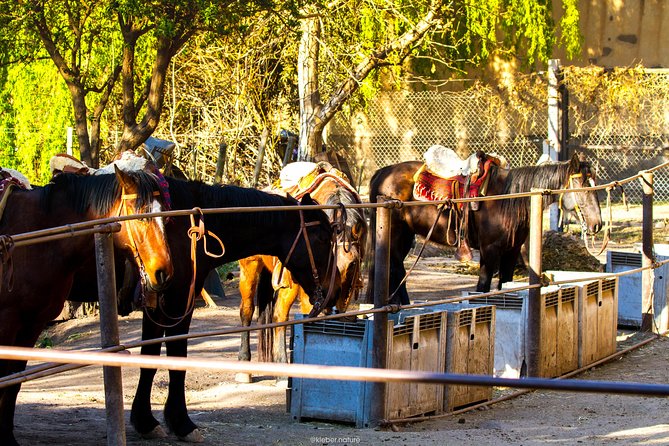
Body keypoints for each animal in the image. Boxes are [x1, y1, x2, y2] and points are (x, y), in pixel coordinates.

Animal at [0, 168, 174, 446]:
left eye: (165, 217)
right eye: (140, 214)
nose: (163, 273)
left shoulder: (32, 325)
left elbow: (13, 381)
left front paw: (7, 436)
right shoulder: (7, 323)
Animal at [125, 176, 340, 440]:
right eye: (322, 238)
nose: (336, 289)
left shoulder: (160, 306)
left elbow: (151, 356)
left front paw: (145, 420)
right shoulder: (175, 303)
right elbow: (173, 358)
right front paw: (179, 423)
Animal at [368, 152, 604, 304]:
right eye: (581, 186)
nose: (597, 224)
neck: (508, 198)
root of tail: (382, 172)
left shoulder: (511, 250)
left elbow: (505, 284)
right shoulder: (489, 250)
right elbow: (483, 287)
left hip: (406, 235)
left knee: (395, 268)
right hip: (395, 234)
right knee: (395, 267)